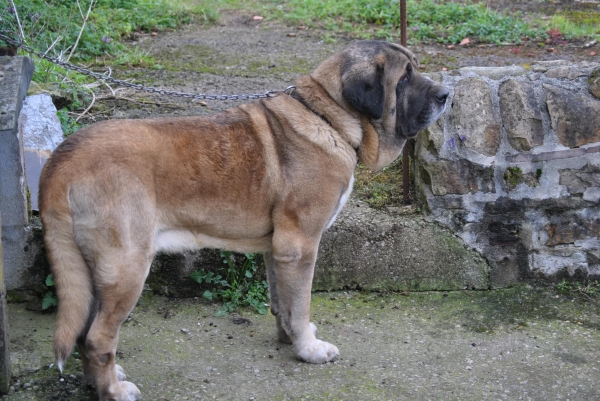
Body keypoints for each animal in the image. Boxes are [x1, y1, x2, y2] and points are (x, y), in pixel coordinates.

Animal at [39, 40, 448, 400]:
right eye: (405, 77)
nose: (446, 95)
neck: (329, 116)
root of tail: (64, 156)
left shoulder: (278, 249)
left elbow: (283, 302)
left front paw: (290, 338)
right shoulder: (300, 246)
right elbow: (300, 303)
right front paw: (309, 348)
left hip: (93, 271)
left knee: (83, 332)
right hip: (126, 268)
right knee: (98, 337)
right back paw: (113, 390)